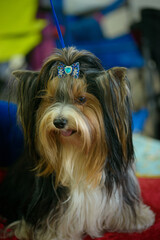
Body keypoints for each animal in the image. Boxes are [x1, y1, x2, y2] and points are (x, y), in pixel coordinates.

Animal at [0, 47, 155, 240]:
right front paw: (54, 235)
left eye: (81, 99)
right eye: (50, 99)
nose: (59, 122)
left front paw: (137, 220)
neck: (75, 152)